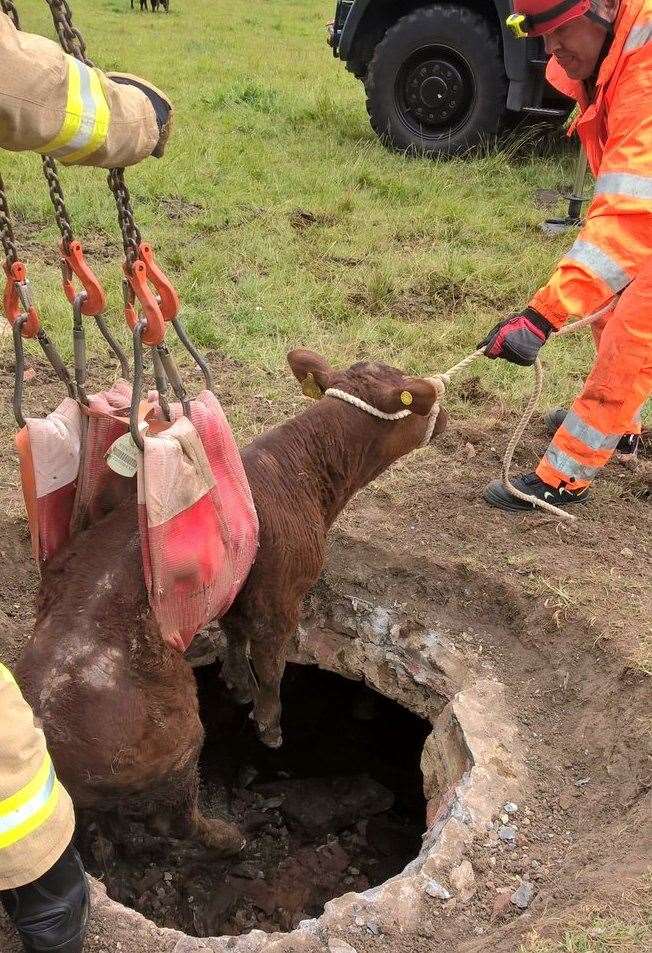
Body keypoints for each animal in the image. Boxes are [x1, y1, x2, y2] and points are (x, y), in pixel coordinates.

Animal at [17, 354, 448, 852]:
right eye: (415, 400)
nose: (445, 415)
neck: (302, 477)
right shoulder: (281, 596)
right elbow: (273, 664)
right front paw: (270, 725)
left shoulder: (240, 588)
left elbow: (233, 632)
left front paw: (237, 683)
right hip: (176, 740)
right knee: (176, 820)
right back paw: (234, 837)